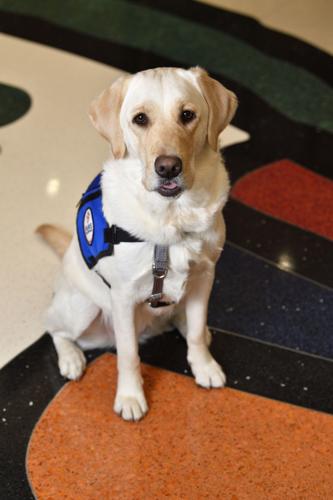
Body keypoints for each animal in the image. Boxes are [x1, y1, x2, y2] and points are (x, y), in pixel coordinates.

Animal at [39, 65, 236, 418]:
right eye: (140, 119)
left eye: (187, 115)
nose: (168, 167)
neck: (171, 219)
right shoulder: (123, 296)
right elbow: (128, 354)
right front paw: (130, 397)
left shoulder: (205, 276)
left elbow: (196, 331)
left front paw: (204, 366)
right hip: (83, 308)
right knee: (55, 328)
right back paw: (71, 358)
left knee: (186, 320)